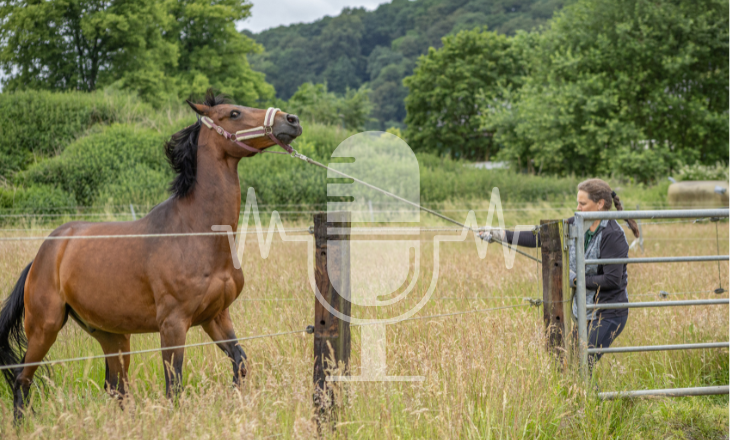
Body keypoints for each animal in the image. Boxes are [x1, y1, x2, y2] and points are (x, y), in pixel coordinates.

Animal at [0, 89, 302, 420]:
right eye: (234, 113)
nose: (292, 120)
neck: (194, 232)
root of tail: (43, 254)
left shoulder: (216, 317)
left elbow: (240, 361)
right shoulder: (173, 324)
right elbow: (175, 383)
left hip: (113, 336)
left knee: (116, 387)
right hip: (45, 327)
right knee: (22, 379)